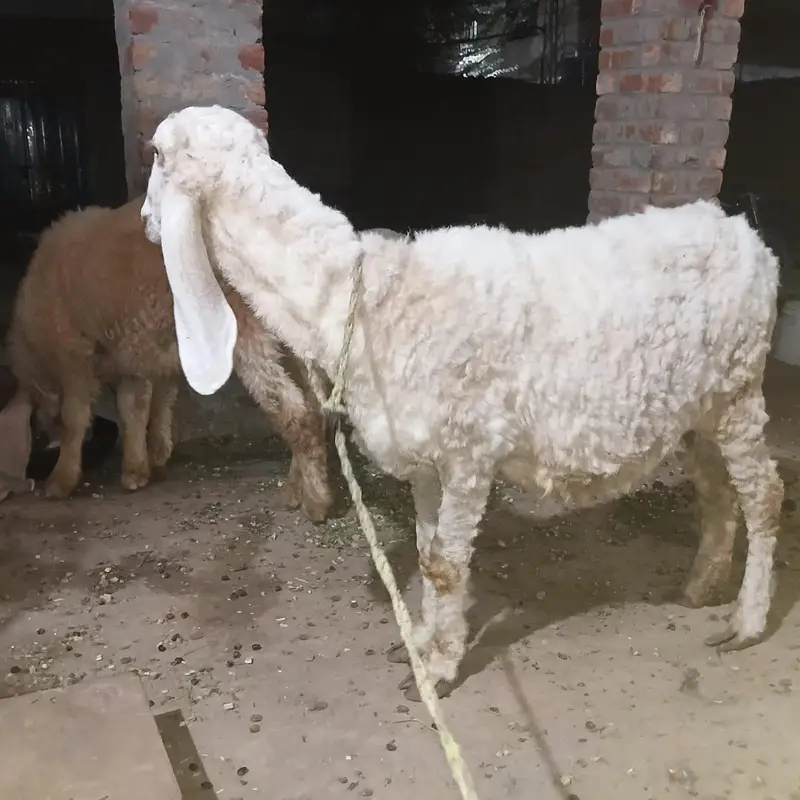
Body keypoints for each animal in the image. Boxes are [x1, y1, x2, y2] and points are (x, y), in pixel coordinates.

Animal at [7, 195, 334, 522]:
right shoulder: (131, 356)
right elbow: (134, 410)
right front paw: (136, 468)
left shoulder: (74, 353)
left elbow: (74, 419)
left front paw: (61, 479)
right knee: (314, 408)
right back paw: (297, 488)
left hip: (249, 331)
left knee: (296, 412)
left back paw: (317, 500)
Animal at [140, 104, 783, 700]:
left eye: (155, 154)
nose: (145, 221)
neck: (361, 298)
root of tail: (744, 235)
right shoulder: (426, 461)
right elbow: (427, 553)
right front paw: (424, 638)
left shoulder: (470, 453)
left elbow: (446, 568)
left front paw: (439, 669)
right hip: (698, 410)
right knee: (718, 491)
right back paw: (702, 586)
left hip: (739, 391)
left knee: (764, 495)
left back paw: (747, 619)